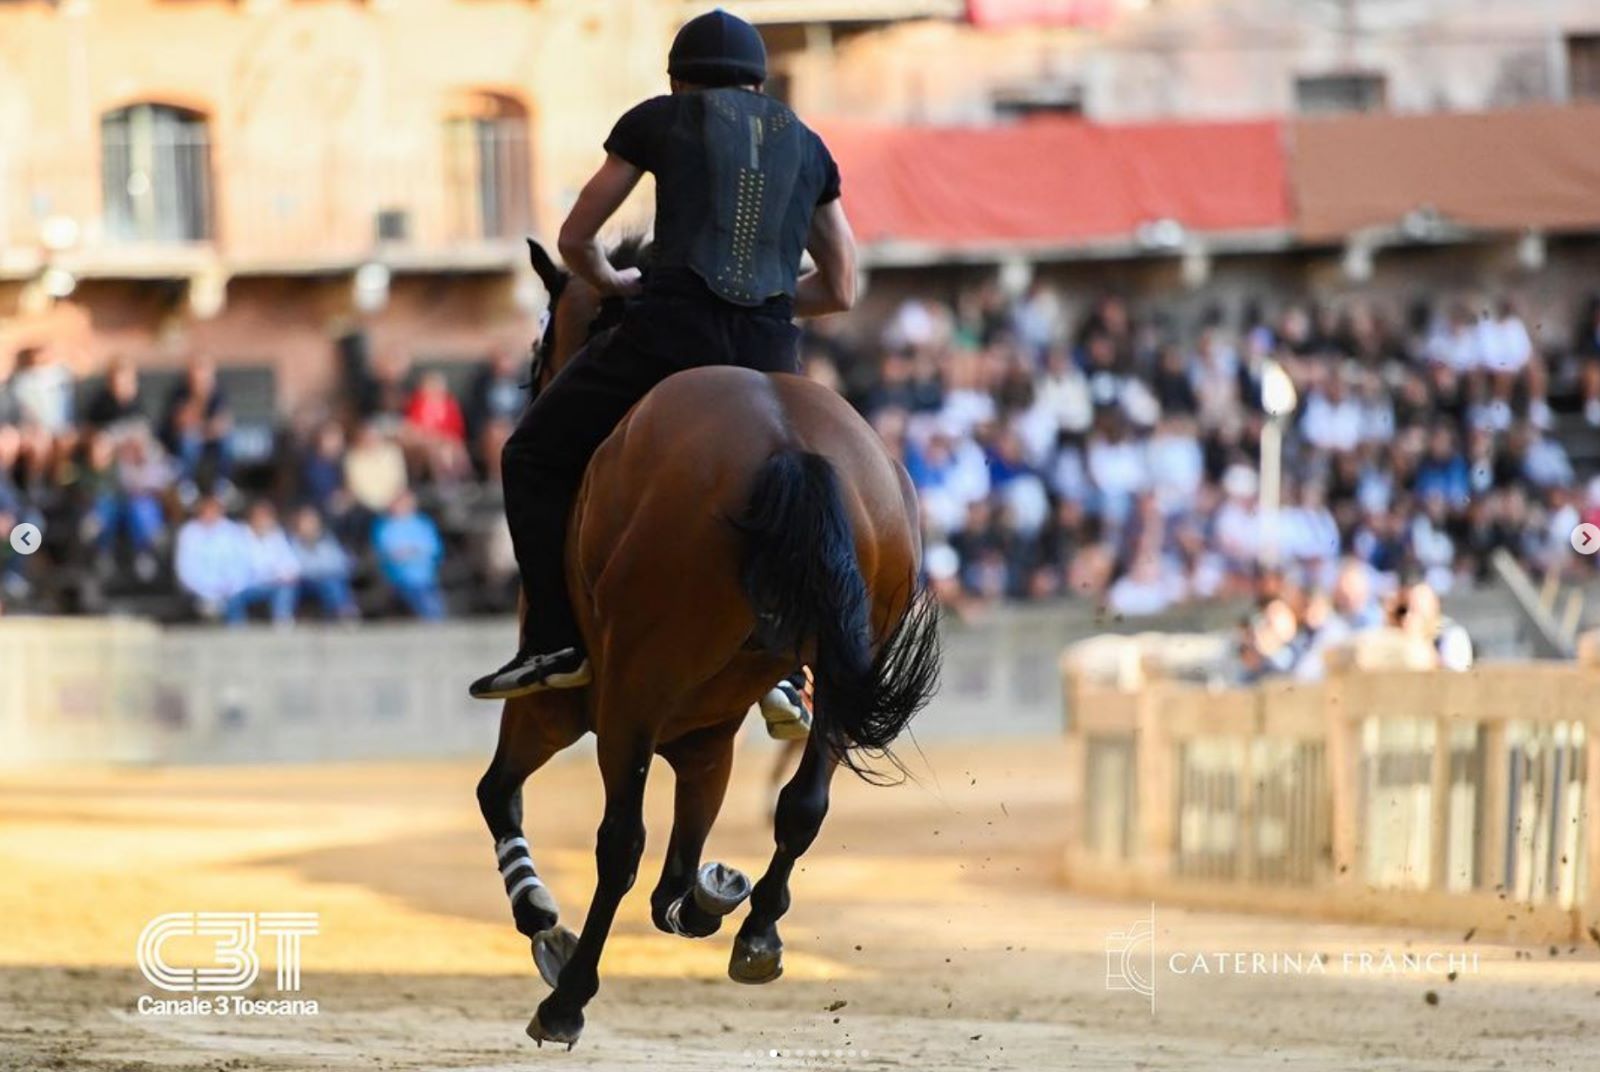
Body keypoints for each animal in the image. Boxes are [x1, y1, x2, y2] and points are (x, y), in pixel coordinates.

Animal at [470, 241, 934, 1049]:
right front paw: (713, 895)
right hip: (840, 668)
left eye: (542, 336)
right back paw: (757, 933)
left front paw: (543, 922)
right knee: (802, 804)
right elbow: (679, 875)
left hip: (625, 703)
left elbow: (499, 793)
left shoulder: (562, 710)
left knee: (619, 842)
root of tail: (787, 445)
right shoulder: (705, 739)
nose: (531, 384)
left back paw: (568, 1000)